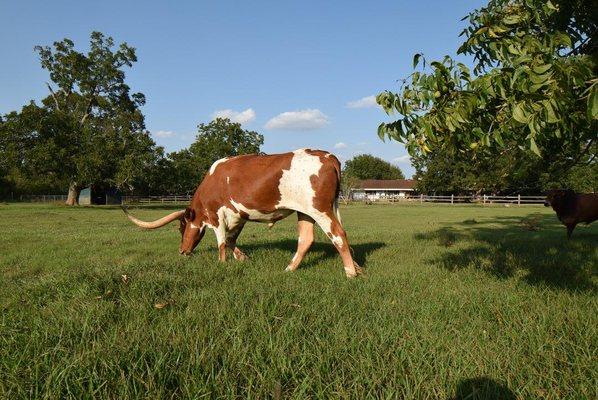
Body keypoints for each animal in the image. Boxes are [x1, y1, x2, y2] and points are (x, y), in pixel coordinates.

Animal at [123, 148, 364, 276]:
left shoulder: (216, 215)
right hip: (305, 211)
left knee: (338, 235)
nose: (182, 251)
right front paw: (242, 258)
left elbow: (221, 242)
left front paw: (221, 264)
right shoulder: (238, 215)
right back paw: (290, 268)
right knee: (306, 239)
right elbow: (231, 240)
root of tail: (328, 156)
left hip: (320, 209)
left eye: (180, 228)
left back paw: (350, 272)